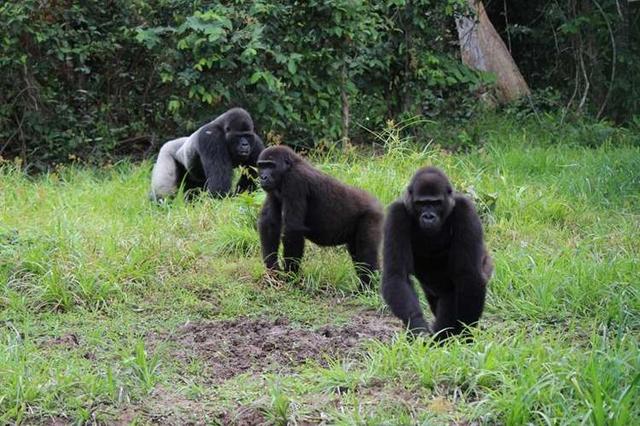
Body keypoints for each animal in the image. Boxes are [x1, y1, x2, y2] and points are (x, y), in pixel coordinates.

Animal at [256, 146, 384, 290]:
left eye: (271, 166)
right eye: (262, 166)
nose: (263, 177)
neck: (289, 167)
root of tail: (378, 203)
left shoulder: (295, 181)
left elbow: (293, 229)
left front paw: (291, 275)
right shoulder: (273, 189)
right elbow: (269, 223)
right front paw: (273, 270)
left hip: (372, 215)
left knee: (367, 253)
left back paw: (368, 287)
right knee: (357, 253)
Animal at [382, 166, 492, 340]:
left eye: (436, 203)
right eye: (421, 204)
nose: (428, 216)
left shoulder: (465, 209)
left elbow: (468, 276)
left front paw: (464, 335)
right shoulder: (396, 213)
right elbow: (396, 275)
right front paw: (417, 327)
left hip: (487, 263)